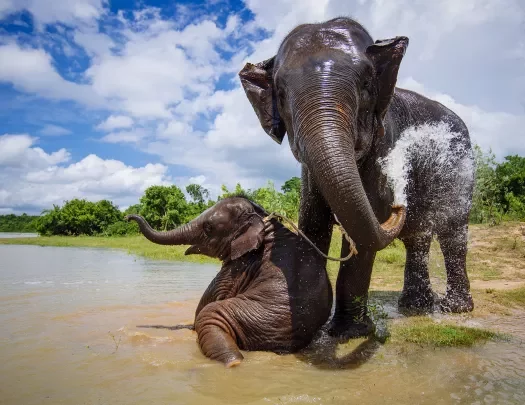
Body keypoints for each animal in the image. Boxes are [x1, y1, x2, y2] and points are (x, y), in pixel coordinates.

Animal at [125, 196, 332, 366]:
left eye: (208, 228)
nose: (127, 217)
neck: (264, 220)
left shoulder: (237, 268)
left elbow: (208, 301)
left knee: (209, 316)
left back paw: (233, 362)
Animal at [239, 16, 472, 338]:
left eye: (365, 85)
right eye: (282, 95)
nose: (398, 203)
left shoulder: (384, 142)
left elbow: (366, 222)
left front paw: (350, 333)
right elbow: (313, 222)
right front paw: (312, 329)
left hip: (459, 166)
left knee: (453, 232)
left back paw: (455, 310)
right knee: (417, 237)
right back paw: (415, 306)